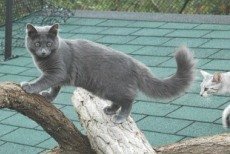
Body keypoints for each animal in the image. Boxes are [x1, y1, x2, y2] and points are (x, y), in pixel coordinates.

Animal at [21, 23, 194, 123]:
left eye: (49, 44)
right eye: (38, 44)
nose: (43, 52)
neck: (44, 60)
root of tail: (135, 64)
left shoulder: (58, 71)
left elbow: (44, 81)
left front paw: (29, 86)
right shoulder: (56, 76)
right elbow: (55, 87)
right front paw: (49, 96)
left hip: (113, 87)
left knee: (129, 100)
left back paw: (120, 117)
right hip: (106, 89)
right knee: (121, 100)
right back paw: (110, 109)